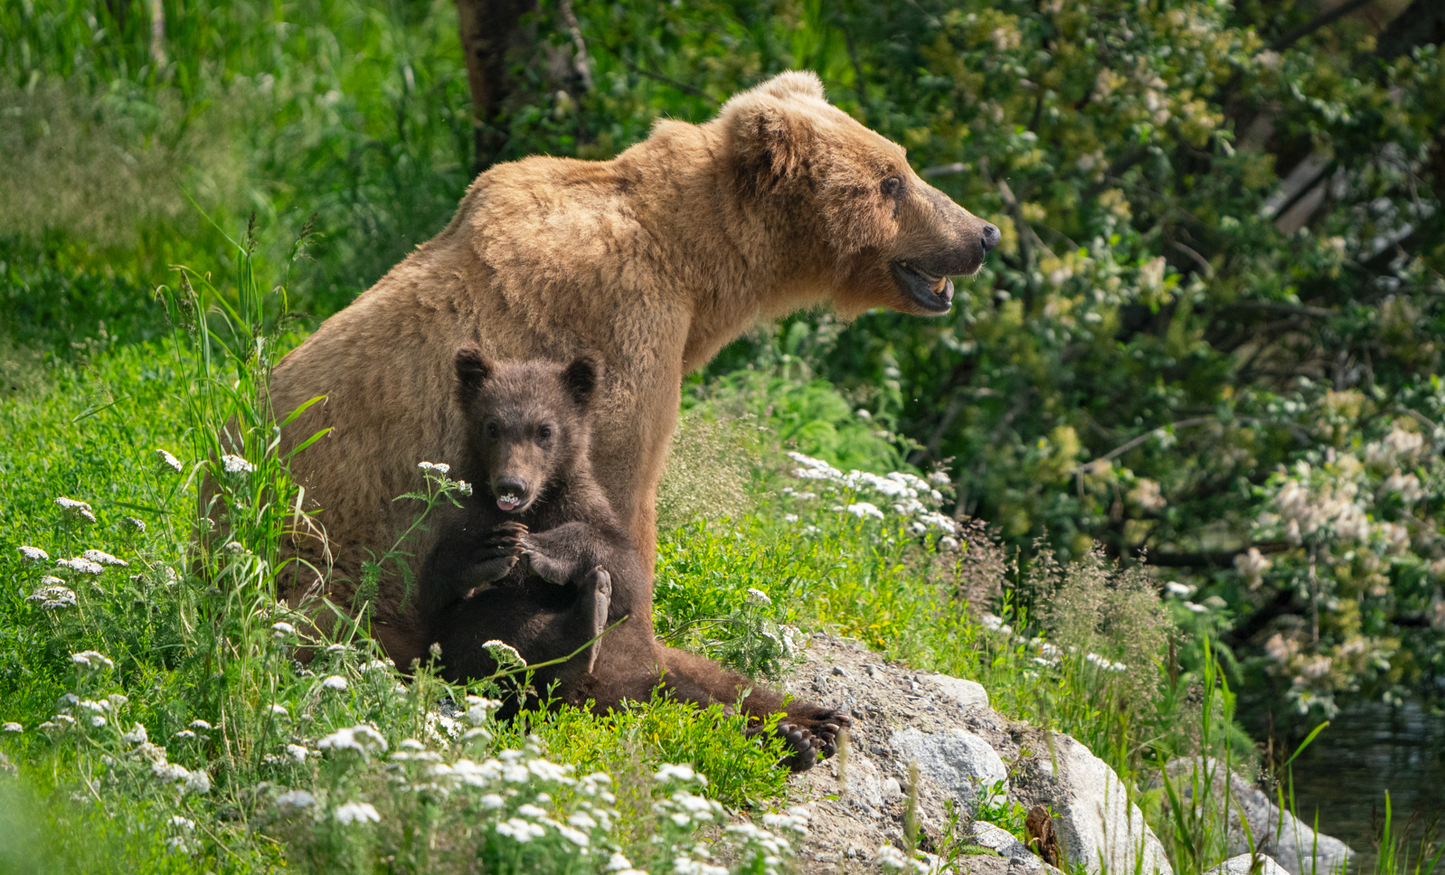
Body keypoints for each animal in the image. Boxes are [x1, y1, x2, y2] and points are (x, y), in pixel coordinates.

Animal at [265, 70, 999, 672]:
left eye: (902, 163)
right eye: (891, 181)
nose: (983, 233)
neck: (694, 267)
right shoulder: (622, 330)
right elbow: (620, 500)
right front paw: (639, 645)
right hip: (340, 553)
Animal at [421, 346, 843, 773]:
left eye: (545, 430)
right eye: (492, 426)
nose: (513, 485)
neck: (534, 509)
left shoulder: (585, 507)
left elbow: (627, 573)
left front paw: (547, 551)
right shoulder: (463, 516)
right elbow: (440, 588)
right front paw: (492, 550)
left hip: (656, 661)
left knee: (729, 686)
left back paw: (813, 727)